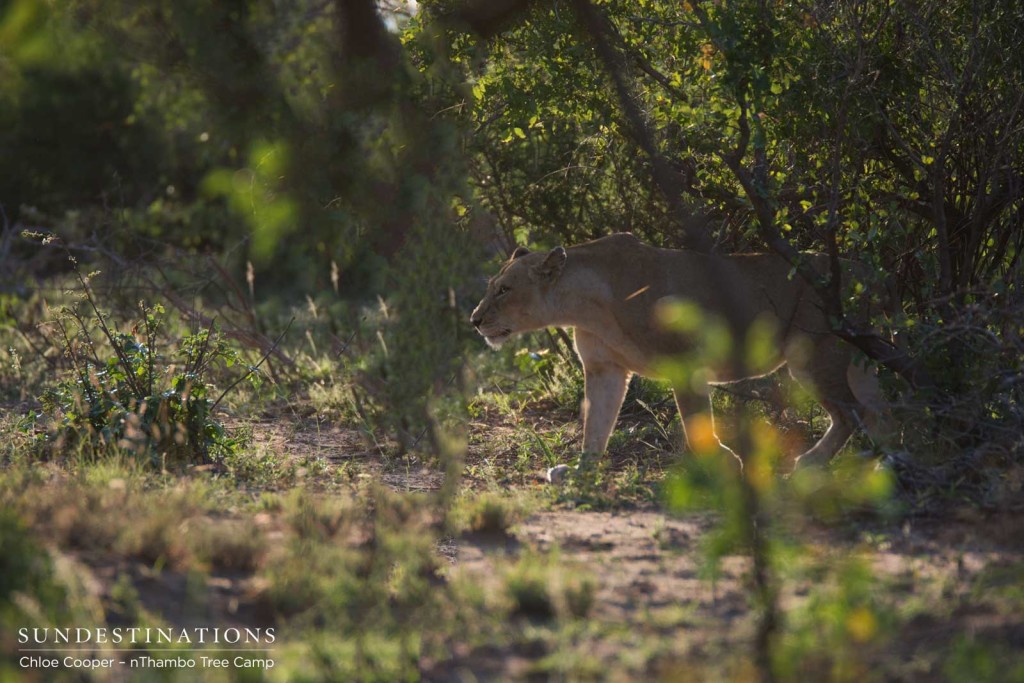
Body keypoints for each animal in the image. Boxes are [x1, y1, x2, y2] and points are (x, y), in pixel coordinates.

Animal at [470, 233, 890, 480]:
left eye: (505, 290)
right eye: (492, 286)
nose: (474, 320)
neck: (584, 305)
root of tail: (867, 272)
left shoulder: (686, 361)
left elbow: (694, 419)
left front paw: (722, 463)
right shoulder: (605, 368)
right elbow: (596, 424)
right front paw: (580, 471)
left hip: (814, 356)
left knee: (851, 413)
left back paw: (813, 464)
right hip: (858, 364)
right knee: (879, 410)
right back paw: (887, 466)